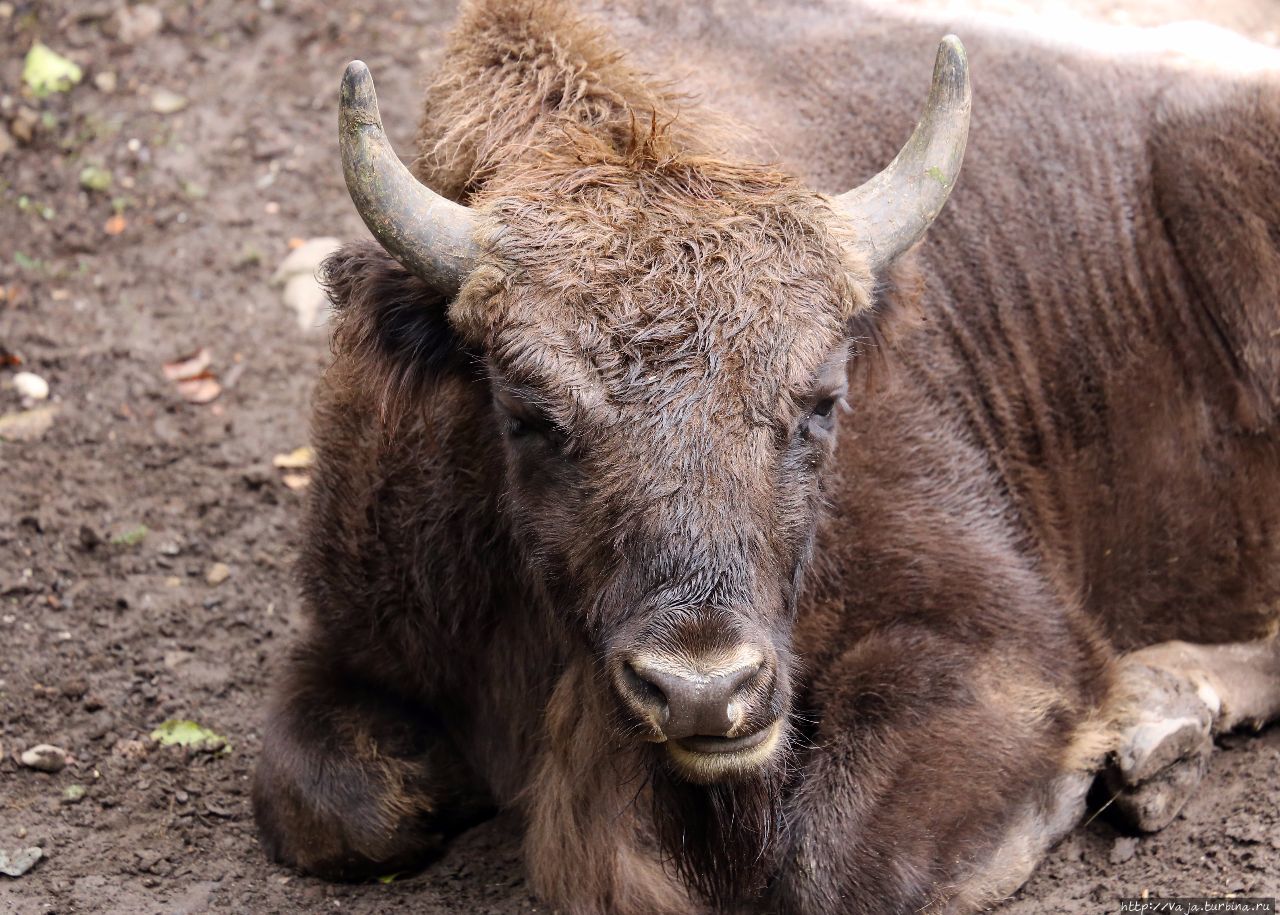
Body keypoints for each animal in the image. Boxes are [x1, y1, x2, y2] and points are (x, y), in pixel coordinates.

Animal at [249, 0, 1280, 911]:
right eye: (527, 412)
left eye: (820, 403)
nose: (705, 690)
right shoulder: (356, 633)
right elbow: (336, 808)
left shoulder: (997, 633)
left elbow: (838, 865)